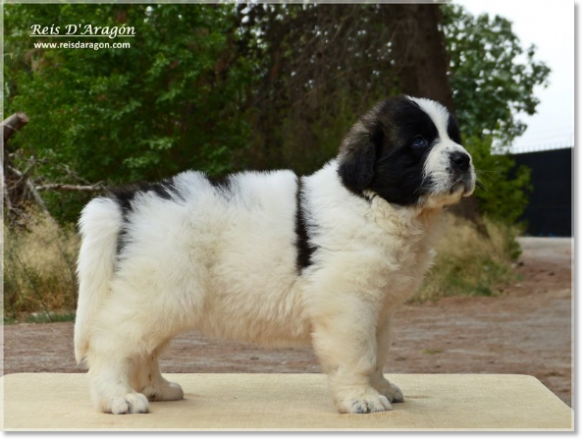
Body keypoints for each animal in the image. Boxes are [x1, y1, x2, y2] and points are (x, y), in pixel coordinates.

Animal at [73, 96, 474, 414]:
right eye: (419, 142)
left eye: (454, 137)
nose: (463, 160)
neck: (374, 203)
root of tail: (127, 200)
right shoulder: (348, 303)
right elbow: (359, 354)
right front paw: (361, 399)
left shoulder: (380, 309)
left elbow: (378, 352)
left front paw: (382, 388)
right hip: (160, 290)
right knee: (112, 342)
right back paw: (118, 398)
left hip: (165, 296)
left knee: (146, 348)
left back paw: (157, 388)